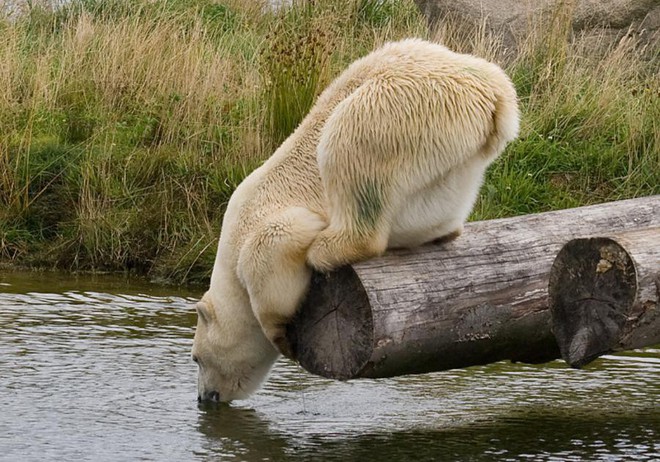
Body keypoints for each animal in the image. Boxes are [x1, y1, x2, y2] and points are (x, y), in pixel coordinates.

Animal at [192, 38, 520, 402]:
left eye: (196, 359)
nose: (204, 398)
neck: (231, 245)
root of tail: (496, 95)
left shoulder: (264, 229)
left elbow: (274, 248)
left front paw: (280, 336)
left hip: (401, 107)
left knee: (348, 144)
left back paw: (326, 248)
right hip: (457, 163)